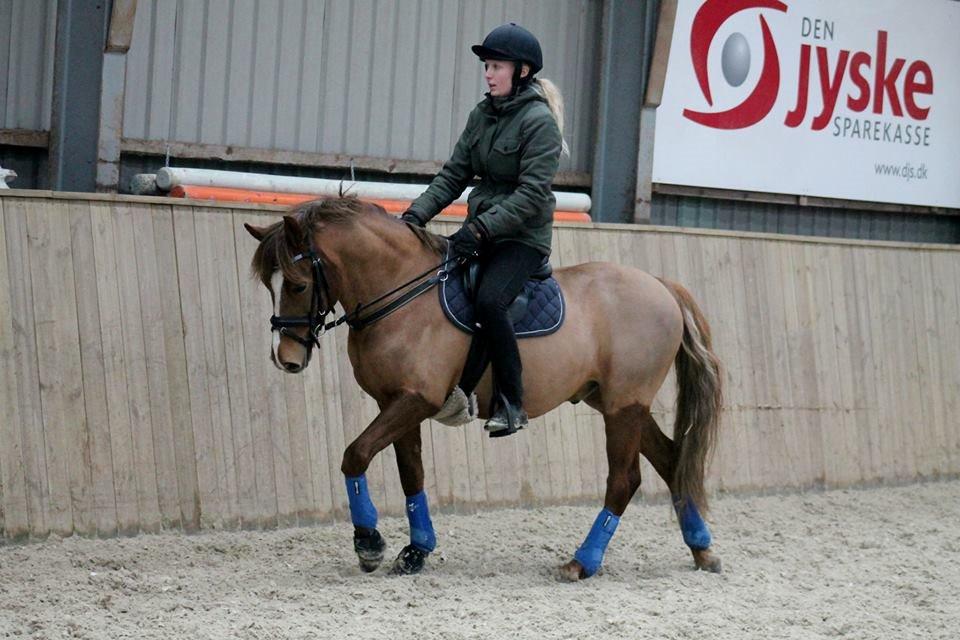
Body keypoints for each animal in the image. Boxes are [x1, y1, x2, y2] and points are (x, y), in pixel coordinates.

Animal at [244, 196, 724, 580]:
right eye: (269, 285)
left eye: (299, 284)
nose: (286, 358)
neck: (401, 297)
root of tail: (660, 285)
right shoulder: (395, 401)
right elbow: (411, 473)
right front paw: (416, 551)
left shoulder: (416, 400)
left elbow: (355, 455)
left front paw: (369, 545)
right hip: (616, 403)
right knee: (672, 462)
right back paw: (702, 550)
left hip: (625, 406)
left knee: (625, 480)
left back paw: (582, 562)